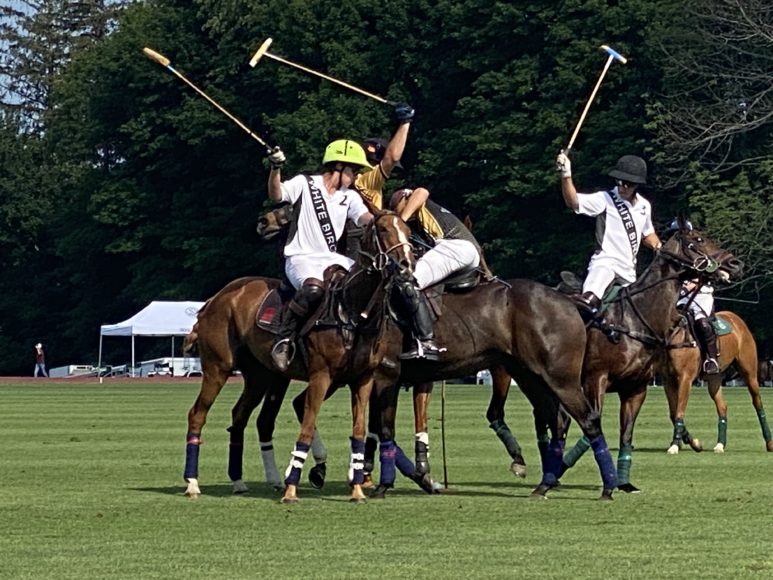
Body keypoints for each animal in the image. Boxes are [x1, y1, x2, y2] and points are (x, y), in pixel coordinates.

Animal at [180, 212, 416, 502]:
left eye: (407, 230)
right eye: (383, 229)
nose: (406, 265)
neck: (353, 311)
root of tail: (215, 299)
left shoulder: (363, 379)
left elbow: (358, 432)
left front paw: (358, 490)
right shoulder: (321, 376)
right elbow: (307, 425)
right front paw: (292, 488)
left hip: (260, 376)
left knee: (240, 416)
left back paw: (238, 481)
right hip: (218, 367)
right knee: (197, 414)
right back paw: (192, 483)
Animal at [656, 310, 772, 456]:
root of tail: (735, 317)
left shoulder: (685, 378)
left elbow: (679, 411)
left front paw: (675, 446)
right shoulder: (668, 380)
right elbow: (673, 413)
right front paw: (694, 443)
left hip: (749, 372)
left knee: (757, 403)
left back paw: (769, 443)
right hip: (714, 379)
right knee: (722, 406)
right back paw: (720, 444)